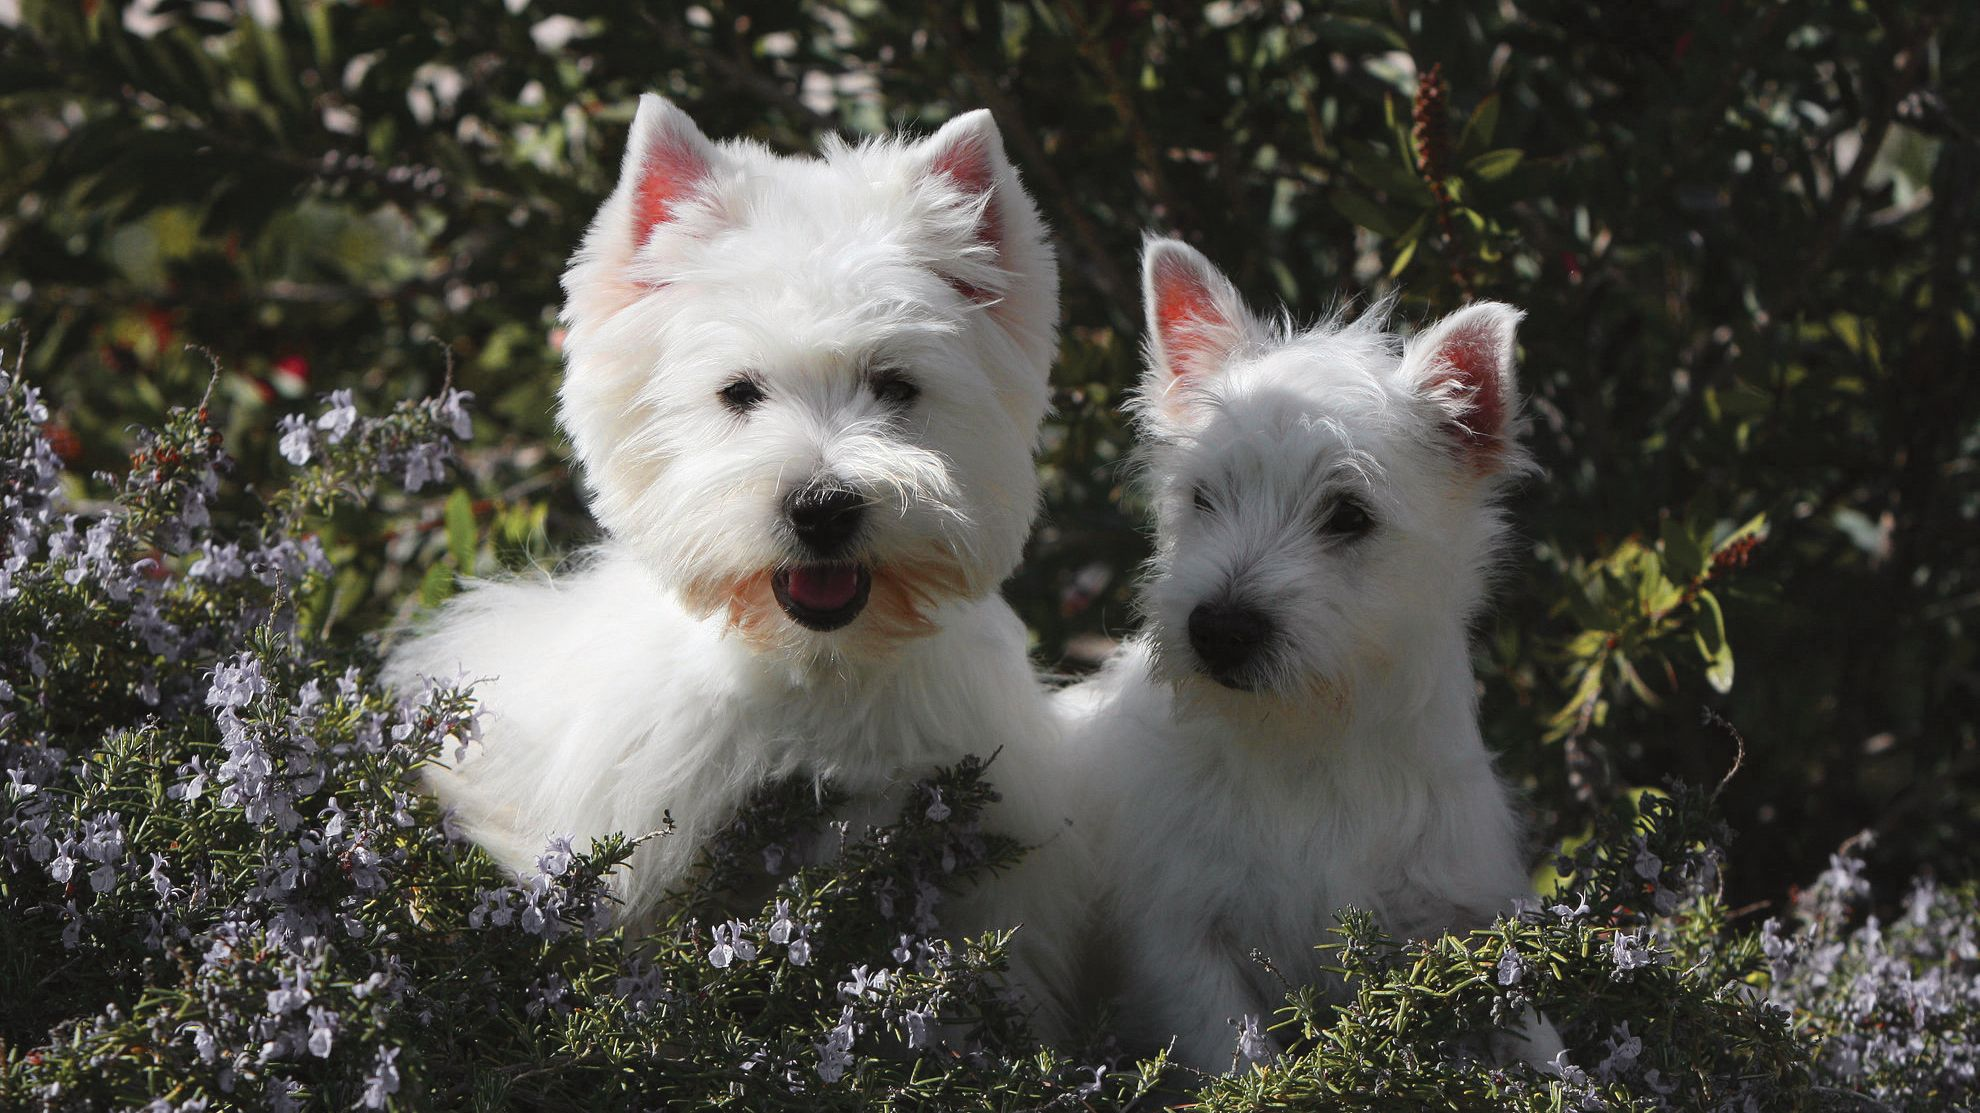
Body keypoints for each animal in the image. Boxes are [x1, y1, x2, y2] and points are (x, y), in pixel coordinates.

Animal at [1061, 238, 1552, 1069]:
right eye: (1204, 497)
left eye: (1348, 515)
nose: (1220, 627)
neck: (1303, 741)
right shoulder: (1182, 941)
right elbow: (1242, 1059)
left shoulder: (1454, 913)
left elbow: (1531, 1028)